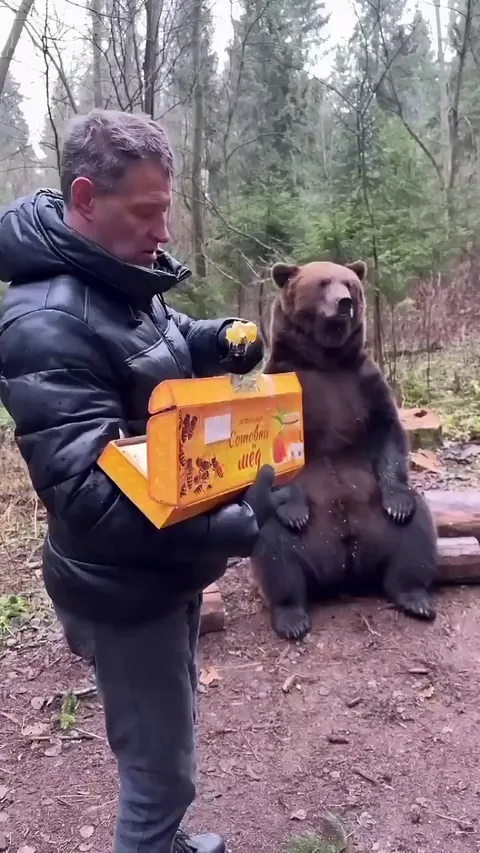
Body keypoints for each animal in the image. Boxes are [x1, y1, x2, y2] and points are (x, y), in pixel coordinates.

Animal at [251, 259, 438, 641]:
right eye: (323, 283)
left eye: (349, 284)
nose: (344, 303)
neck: (325, 360)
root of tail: (346, 565)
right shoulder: (285, 380)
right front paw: (295, 510)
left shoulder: (363, 380)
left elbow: (387, 429)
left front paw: (397, 504)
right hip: (299, 538)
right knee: (277, 555)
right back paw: (291, 617)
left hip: (377, 518)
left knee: (416, 535)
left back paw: (415, 597)